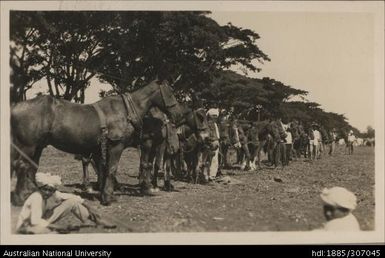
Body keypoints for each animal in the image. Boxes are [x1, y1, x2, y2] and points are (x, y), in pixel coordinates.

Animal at [12, 79, 184, 207]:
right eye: (170, 92)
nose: (178, 115)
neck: (126, 111)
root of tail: (16, 106)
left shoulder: (103, 148)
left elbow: (104, 168)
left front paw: (105, 193)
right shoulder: (116, 146)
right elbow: (112, 169)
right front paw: (107, 197)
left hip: (38, 146)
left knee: (30, 166)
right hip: (28, 146)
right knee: (22, 166)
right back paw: (21, 198)